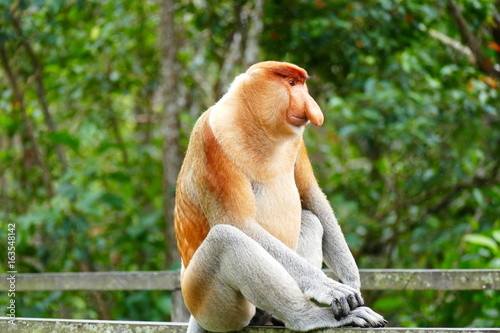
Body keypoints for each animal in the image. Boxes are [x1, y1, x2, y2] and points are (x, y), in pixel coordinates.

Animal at [174, 61, 388, 330]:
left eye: (302, 84)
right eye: (292, 84)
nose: (311, 106)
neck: (255, 124)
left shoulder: (299, 142)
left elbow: (310, 195)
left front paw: (351, 280)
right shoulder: (212, 141)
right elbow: (238, 222)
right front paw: (331, 288)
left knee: (311, 220)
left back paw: (275, 316)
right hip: (203, 299)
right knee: (226, 239)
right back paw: (306, 317)